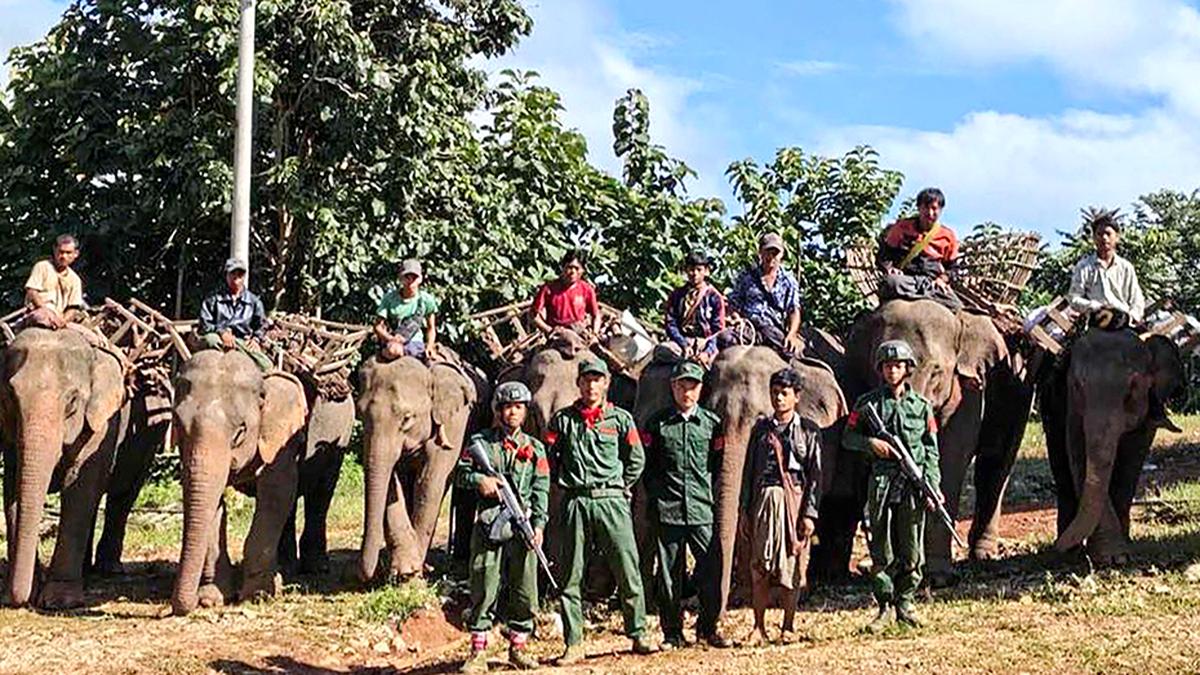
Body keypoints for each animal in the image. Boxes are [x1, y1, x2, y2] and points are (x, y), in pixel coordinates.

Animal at [1, 326, 125, 605]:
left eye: (72, 401)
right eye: (11, 396)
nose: (17, 598)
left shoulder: (100, 424)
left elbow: (80, 485)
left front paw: (60, 600)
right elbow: (12, 485)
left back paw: (107, 569)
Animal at [171, 348, 307, 612]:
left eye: (240, 432)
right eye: (179, 426)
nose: (190, 604)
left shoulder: (280, 441)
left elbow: (277, 494)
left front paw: (257, 595)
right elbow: (211, 503)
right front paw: (211, 598)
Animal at [355, 355, 477, 581]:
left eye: (407, 417)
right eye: (360, 414)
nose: (366, 574)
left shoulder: (456, 421)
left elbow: (430, 481)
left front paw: (412, 572)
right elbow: (394, 482)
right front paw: (406, 568)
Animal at [840, 296, 1036, 581]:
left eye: (936, 371)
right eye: (878, 366)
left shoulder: (967, 387)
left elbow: (953, 455)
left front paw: (938, 576)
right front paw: (902, 567)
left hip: (1020, 386)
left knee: (997, 462)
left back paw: (983, 556)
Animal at [1036, 329, 1185, 559]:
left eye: (1131, 390)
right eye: (1077, 386)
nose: (1056, 548)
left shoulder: (1146, 414)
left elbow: (1130, 463)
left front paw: (1119, 555)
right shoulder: (1069, 403)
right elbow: (1078, 456)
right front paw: (1112, 557)